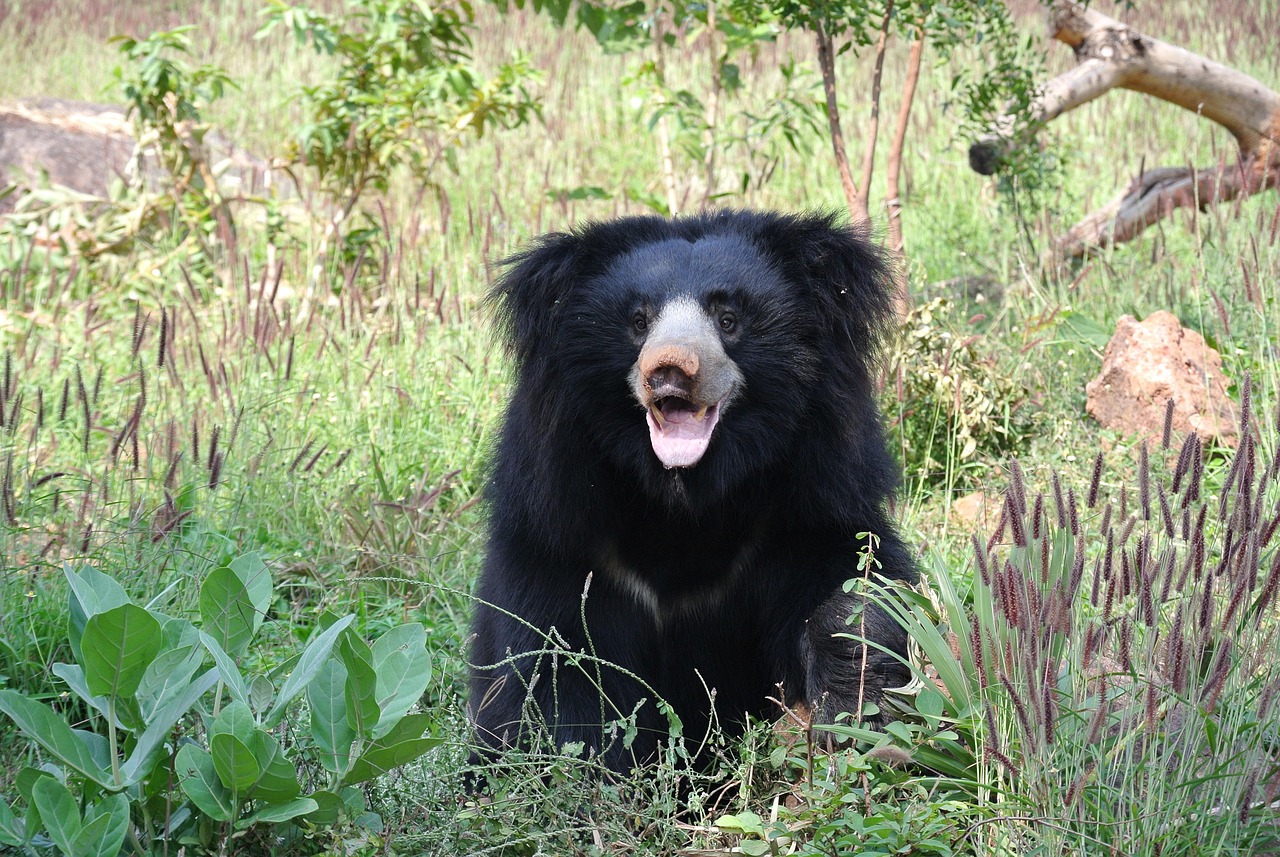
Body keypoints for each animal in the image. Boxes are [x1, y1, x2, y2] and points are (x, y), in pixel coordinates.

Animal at [468, 210, 915, 773]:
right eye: (639, 321)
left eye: (728, 319)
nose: (669, 369)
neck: (684, 498)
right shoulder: (558, 524)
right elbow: (552, 661)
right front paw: (583, 768)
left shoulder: (809, 497)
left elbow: (852, 580)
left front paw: (852, 706)